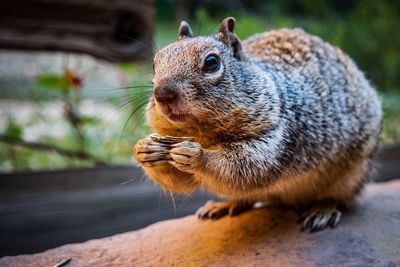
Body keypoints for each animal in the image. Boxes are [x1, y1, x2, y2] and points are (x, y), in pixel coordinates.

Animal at [134, 17, 382, 232]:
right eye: (155, 65)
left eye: (212, 62)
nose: (163, 94)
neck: (204, 134)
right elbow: (182, 182)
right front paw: (144, 150)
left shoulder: (277, 137)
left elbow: (244, 169)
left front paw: (198, 155)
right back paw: (227, 205)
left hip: (352, 175)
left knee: (339, 198)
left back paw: (323, 210)